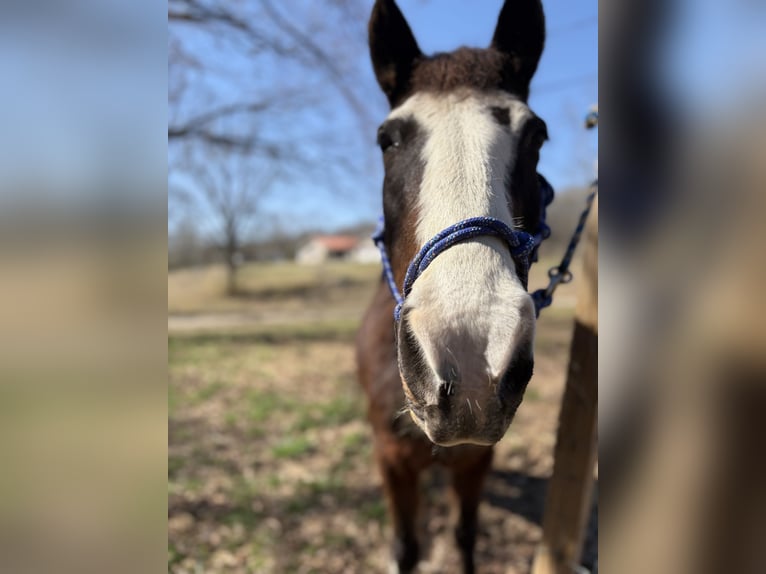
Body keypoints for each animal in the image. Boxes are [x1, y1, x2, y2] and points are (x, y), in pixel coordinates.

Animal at [360, 2, 552, 572]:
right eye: (387, 138)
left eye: (536, 136)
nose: (471, 353)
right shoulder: (392, 462)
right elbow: (405, 547)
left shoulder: (473, 463)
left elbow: (465, 536)